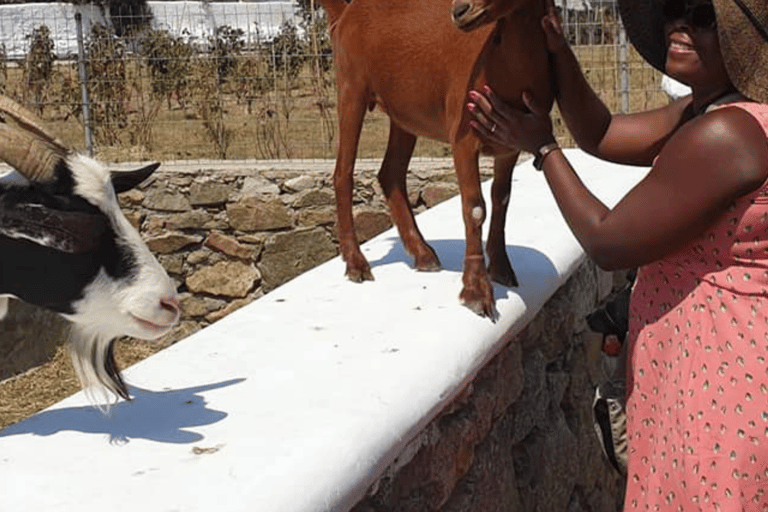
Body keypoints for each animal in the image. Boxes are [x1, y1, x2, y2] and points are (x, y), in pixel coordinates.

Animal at [318, 0, 552, 320]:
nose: (460, 11)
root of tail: (346, 11)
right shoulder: (463, 135)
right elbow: (475, 208)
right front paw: (477, 292)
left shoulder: (510, 143)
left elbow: (502, 198)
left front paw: (502, 269)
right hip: (351, 87)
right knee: (343, 172)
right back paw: (356, 263)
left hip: (403, 112)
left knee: (390, 173)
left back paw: (422, 253)